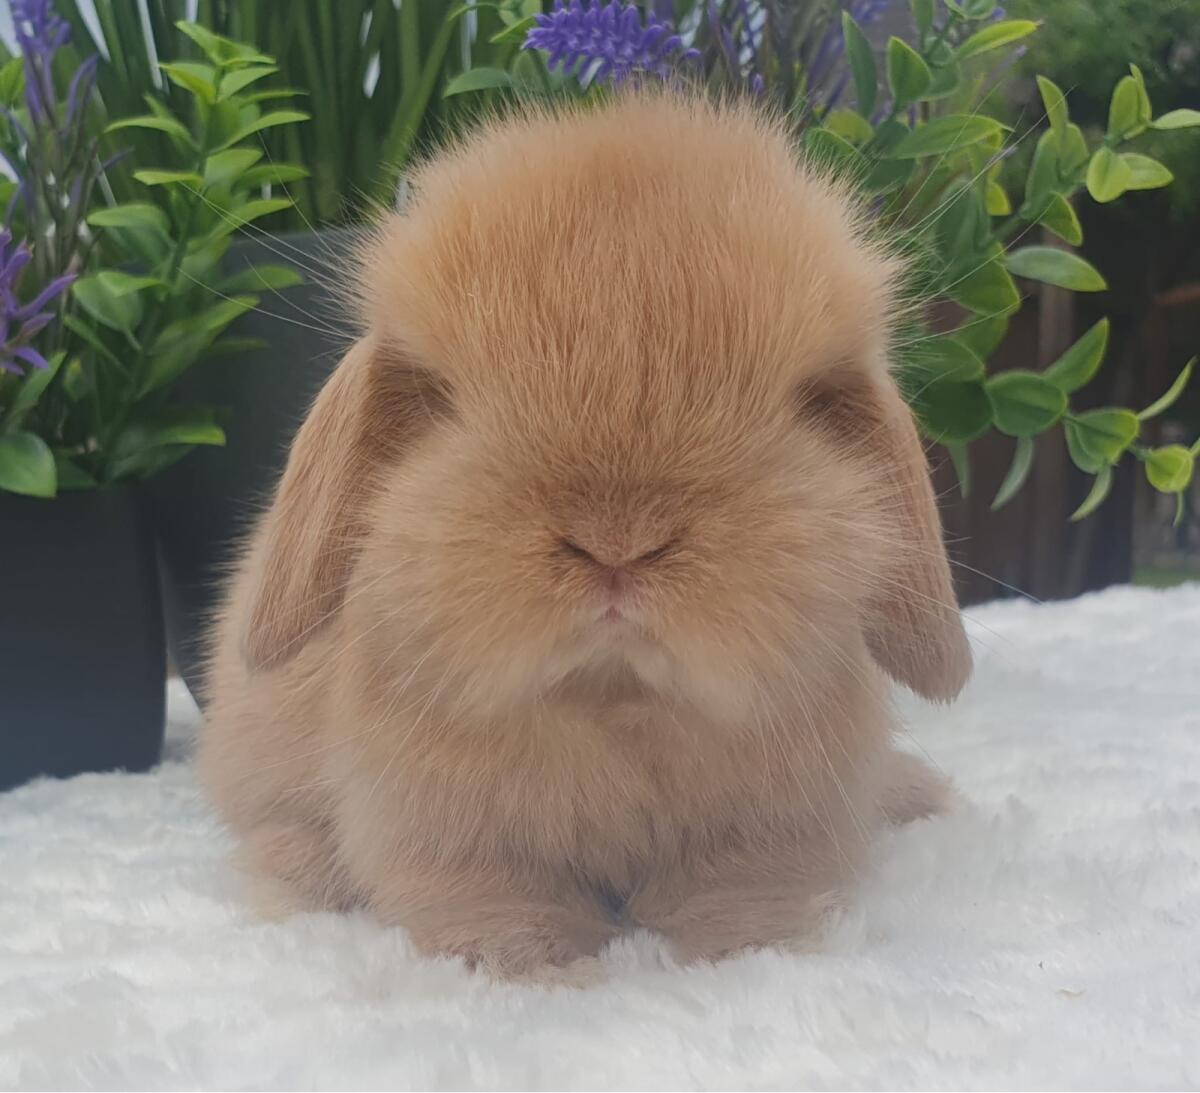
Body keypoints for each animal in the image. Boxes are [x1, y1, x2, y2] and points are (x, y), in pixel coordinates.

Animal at [198, 92, 971, 982]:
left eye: (806, 400)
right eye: (441, 398)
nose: (617, 542)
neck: (613, 698)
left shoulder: (772, 828)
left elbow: (743, 888)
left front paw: (746, 952)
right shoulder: (444, 834)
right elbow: (489, 900)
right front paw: (545, 968)